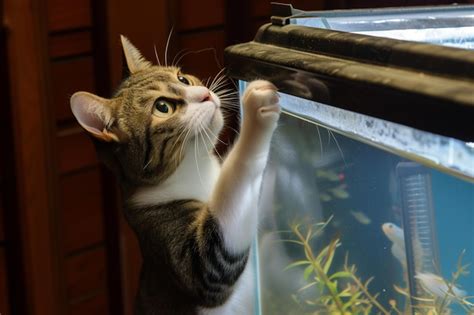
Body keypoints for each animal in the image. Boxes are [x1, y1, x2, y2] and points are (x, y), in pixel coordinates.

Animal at [68, 35, 280, 314]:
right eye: (163, 107)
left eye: (182, 79)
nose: (206, 95)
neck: (196, 170)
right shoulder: (188, 256)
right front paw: (256, 109)